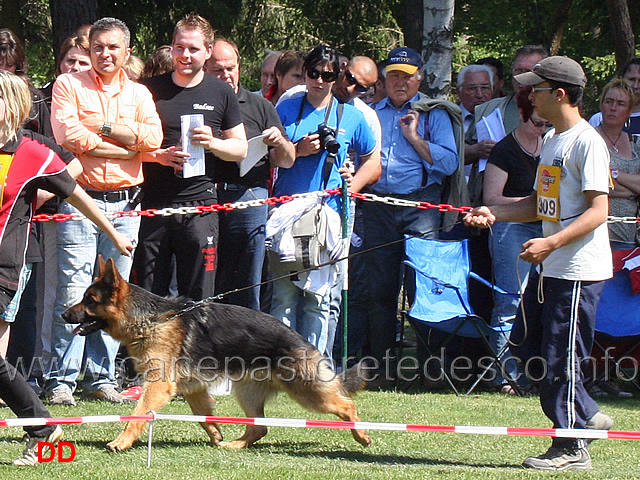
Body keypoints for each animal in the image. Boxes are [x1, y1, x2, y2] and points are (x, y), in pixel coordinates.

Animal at [63, 256, 372, 452]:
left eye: (90, 300)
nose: (63, 315)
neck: (152, 319)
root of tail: (301, 340)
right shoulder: (193, 389)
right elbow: (204, 417)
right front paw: (216, 436)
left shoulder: (158, 386)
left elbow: (138, 414)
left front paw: (122, 442)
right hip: (247, 392)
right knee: (259, 428)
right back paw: (234, 445)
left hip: (307, 393)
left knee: (347, 405)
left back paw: (362, 435)